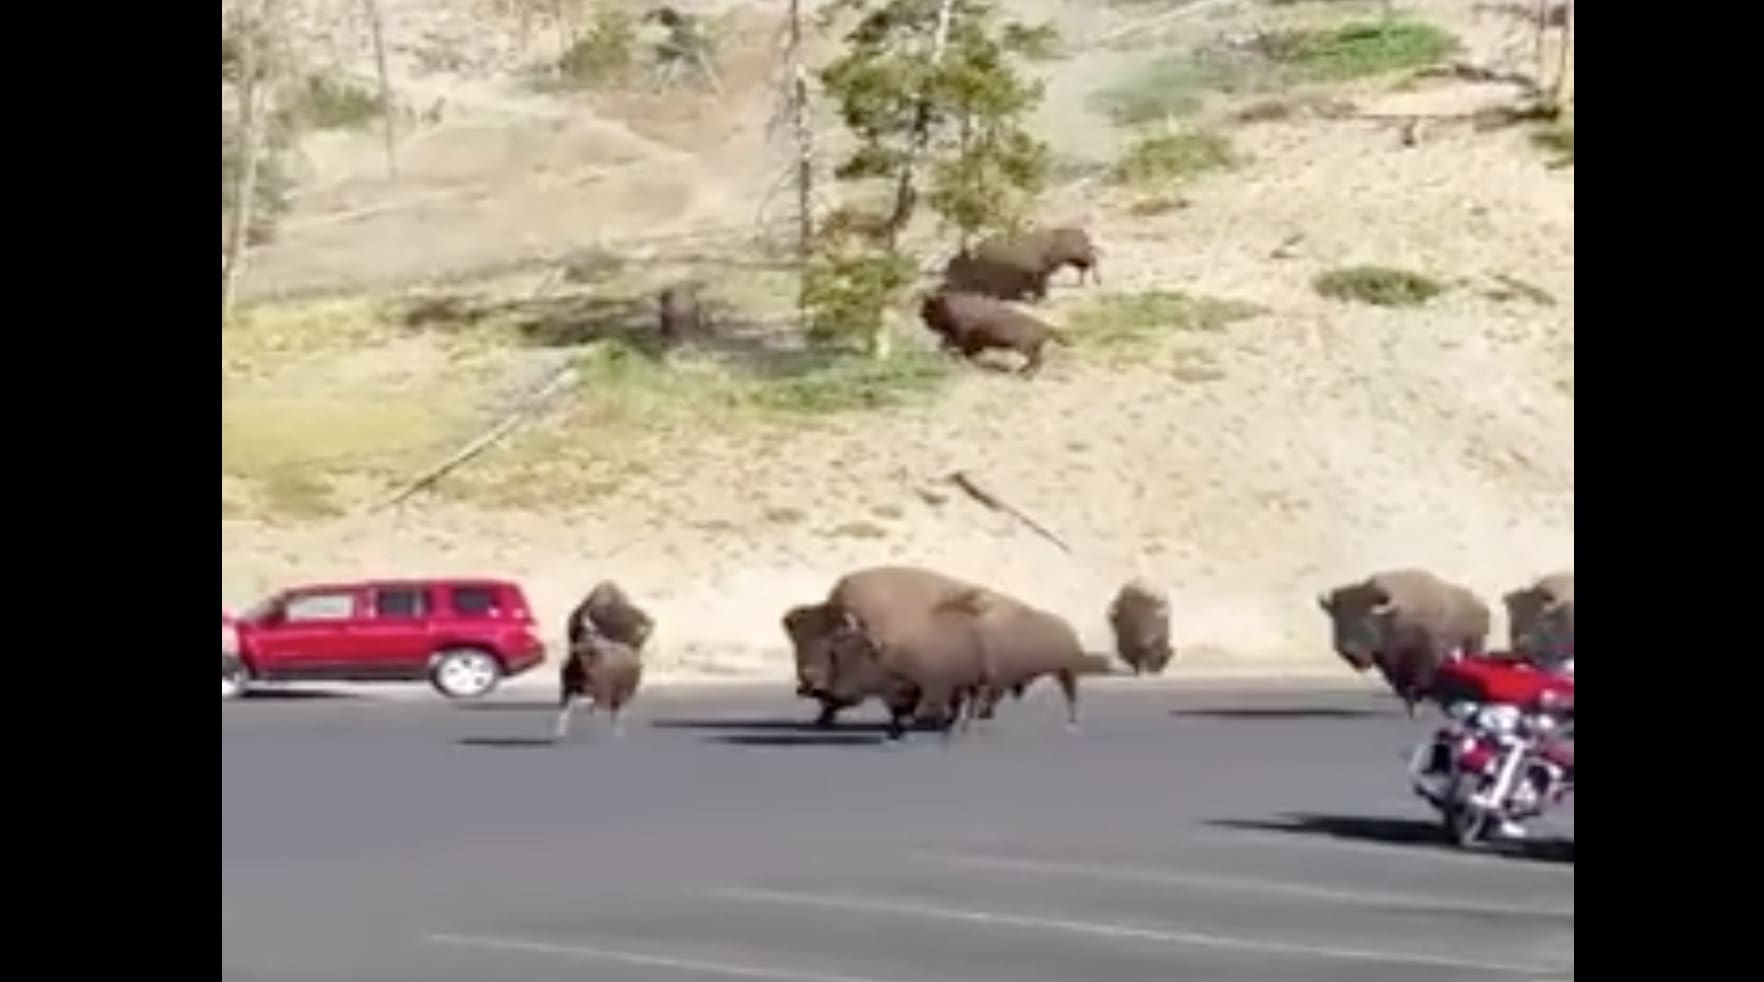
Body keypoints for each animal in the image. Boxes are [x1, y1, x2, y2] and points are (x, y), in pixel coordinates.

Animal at [917, 289, 1065, 377]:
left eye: (929, 309)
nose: (921, 317)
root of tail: (1045, 326)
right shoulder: (962, 337)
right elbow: (950, 345)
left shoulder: (962, 334)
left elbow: (955, 346)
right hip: (1031, 349)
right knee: (1037, 360)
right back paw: (1022, 372)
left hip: (1024, 348)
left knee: (1037, 361)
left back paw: (1024, 374)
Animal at [1326, 567, 1488, 712]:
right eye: (1336, 622)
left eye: (1366, 621)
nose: (1348, 651)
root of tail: (1480, 604)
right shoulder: (1390, 664)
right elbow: (1401, 684)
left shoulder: (1425, 657)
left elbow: (1419, 681)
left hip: (1473, 641)